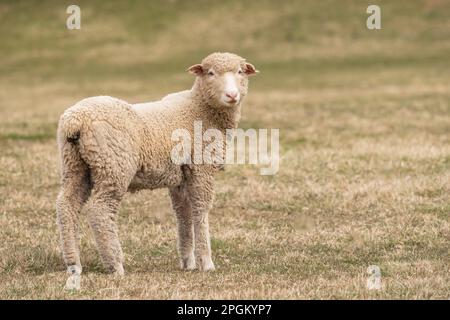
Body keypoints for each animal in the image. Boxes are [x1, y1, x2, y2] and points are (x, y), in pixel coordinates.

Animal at [56, 52, 256, 288]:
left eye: (240, 72)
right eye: (210, 73)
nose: (232, 95)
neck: (199, 109)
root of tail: (76, 120)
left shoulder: (181, 176)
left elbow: (183, 214)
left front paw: (188, 261)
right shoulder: (201, 169)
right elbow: (200, 210)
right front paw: (206, 262)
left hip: (75, 165)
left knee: (66, 205)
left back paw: (73, 263)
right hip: (114, 167)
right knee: (100, 211)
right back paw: (116, 265)